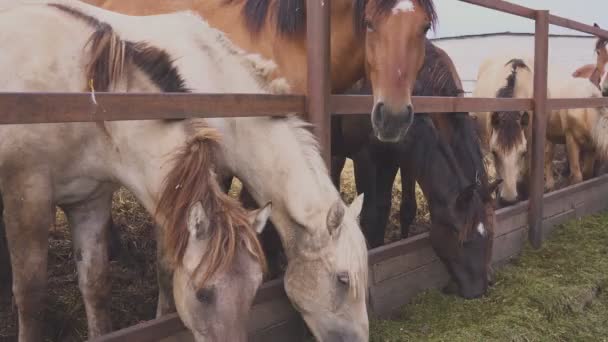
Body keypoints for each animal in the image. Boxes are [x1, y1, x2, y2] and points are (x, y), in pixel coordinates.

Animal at [332, 40, 498, 300]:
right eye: (461, 237)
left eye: (491, 234)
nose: (480, 288)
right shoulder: (365, 157)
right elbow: (370, 215)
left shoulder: (395, 159)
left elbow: (395, 208)